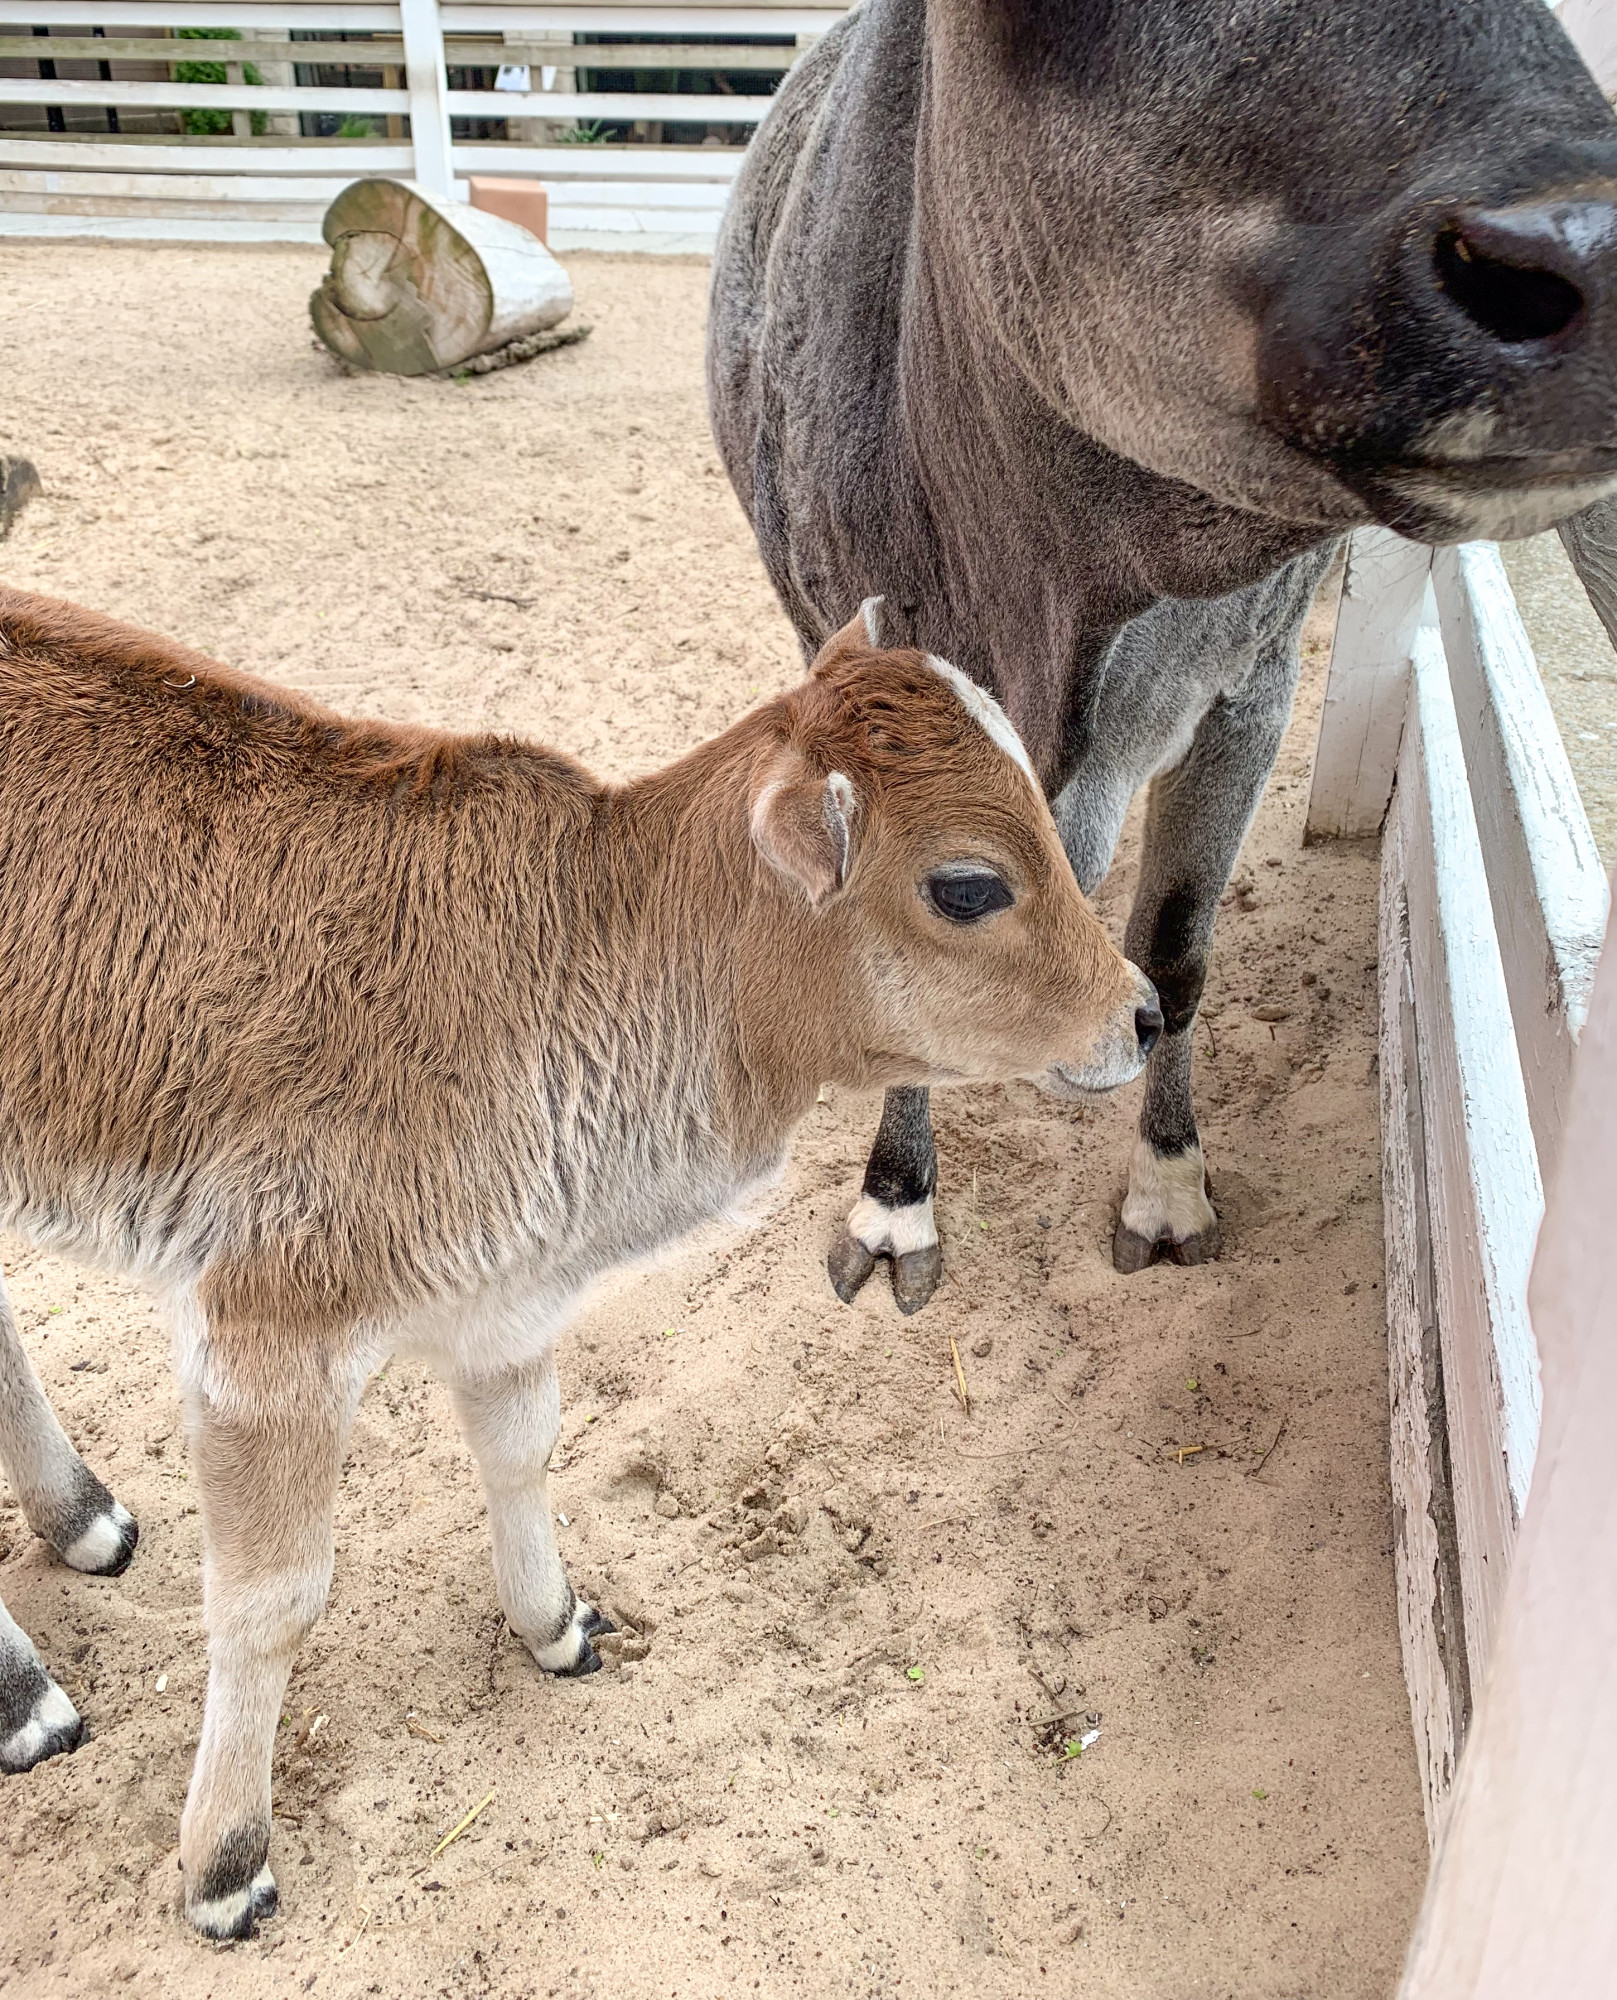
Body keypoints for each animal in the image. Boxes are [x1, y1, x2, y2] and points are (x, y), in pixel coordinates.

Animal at [0, 592, 1152, 1936]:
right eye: (967, 884)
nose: (1142, 1012)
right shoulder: (264, 1335)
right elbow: (269, 1598)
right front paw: (225, 1864)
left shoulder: (506, 1306)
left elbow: (522, 1451)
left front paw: (557, 1625)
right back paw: (29, 1697)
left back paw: (82, 1518)